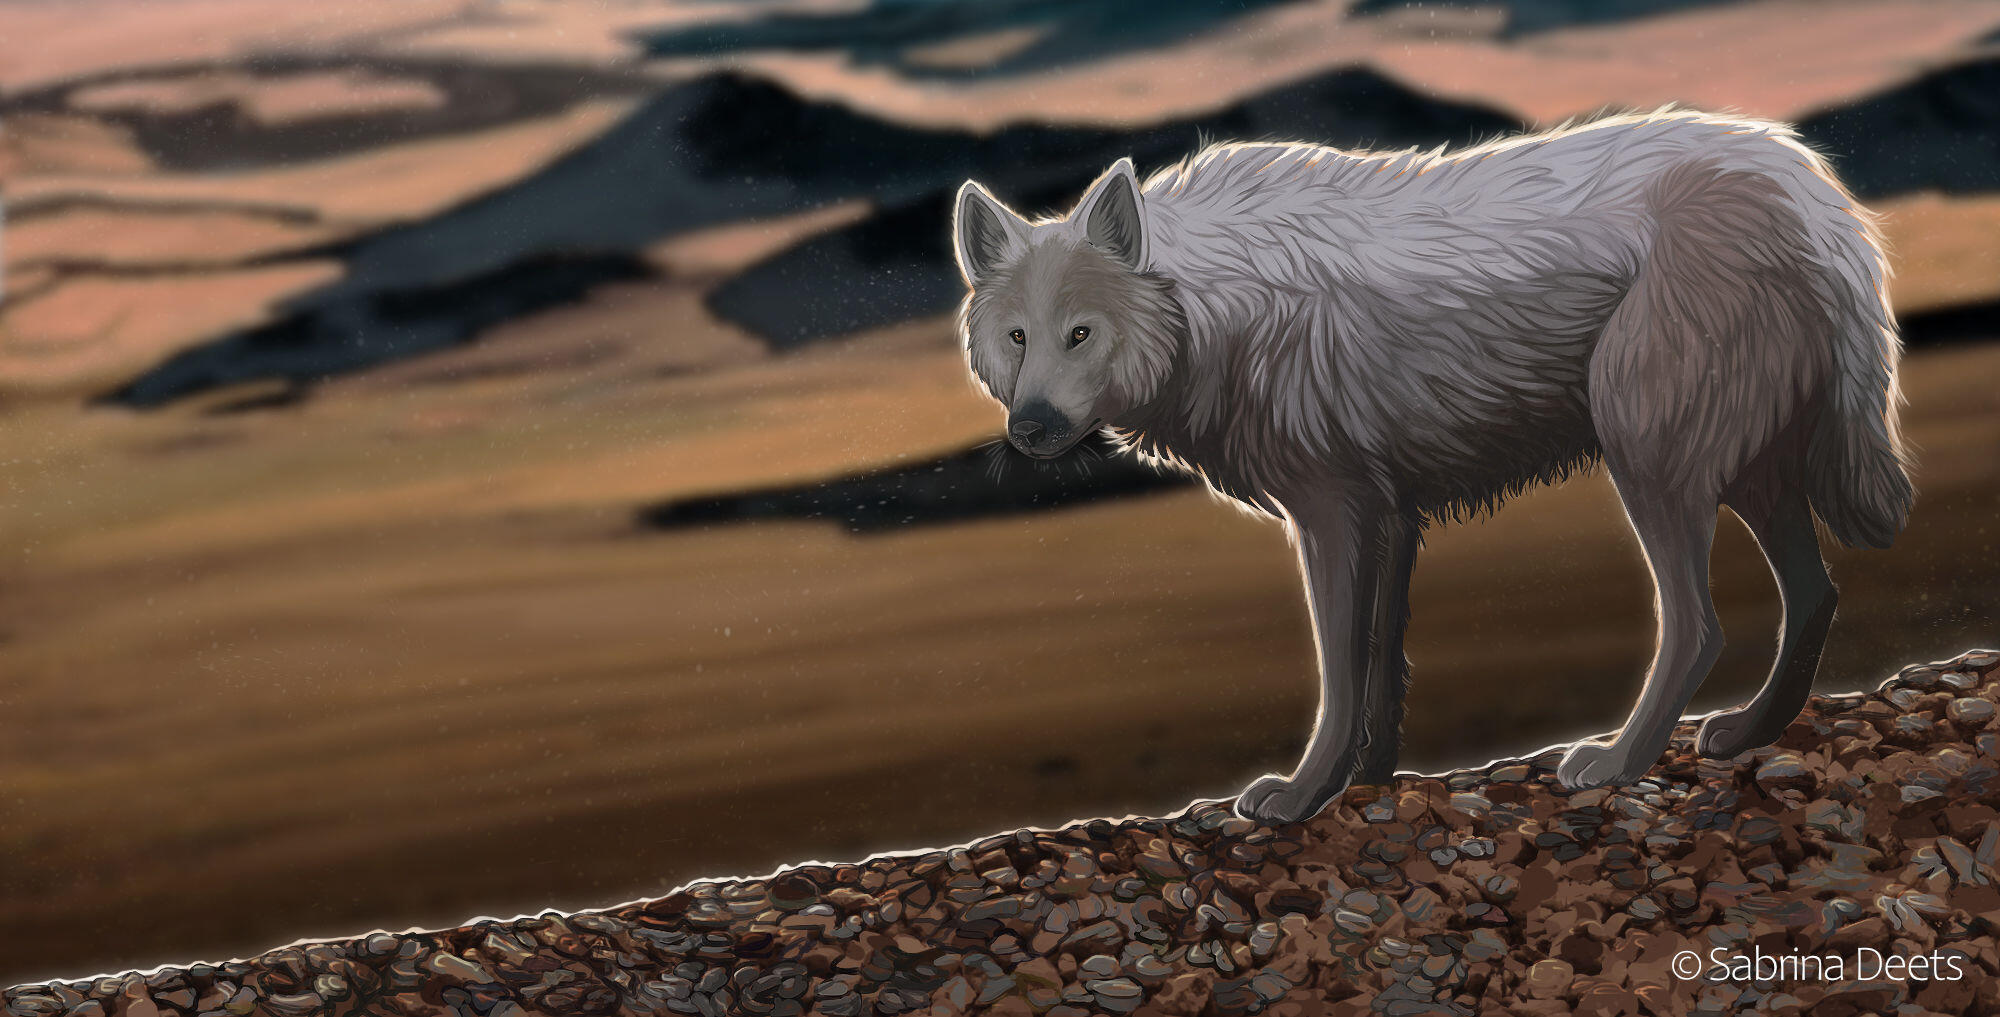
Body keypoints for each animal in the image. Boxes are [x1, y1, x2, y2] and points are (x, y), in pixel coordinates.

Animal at [948, 109, 1914, 824]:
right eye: (1019, 337)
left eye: (1081, 332)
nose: (1031, 427)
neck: (1212, 305)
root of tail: (1819, 196)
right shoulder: (1390, 512)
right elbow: (1383, 658)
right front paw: (1370, 775)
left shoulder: (1331, 513)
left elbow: (1339, 666)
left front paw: (1303, 793)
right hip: (1749, 467)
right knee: (1814, 591)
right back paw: (1749, 730)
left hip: (1650, 455)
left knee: (1699, 621)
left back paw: (1616, 760)